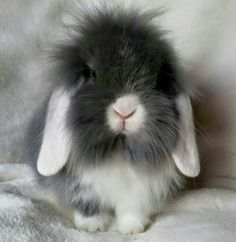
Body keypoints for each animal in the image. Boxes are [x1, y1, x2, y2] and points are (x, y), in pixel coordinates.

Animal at [25, 1, 199, 235]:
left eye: (158, 80)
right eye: (91, 73)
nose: (125, 109)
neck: (118, 149)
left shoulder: (139, 192)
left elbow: (132, 209)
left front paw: (133, 229)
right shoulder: (81, 188)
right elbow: (87, 205)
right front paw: (92, 226)